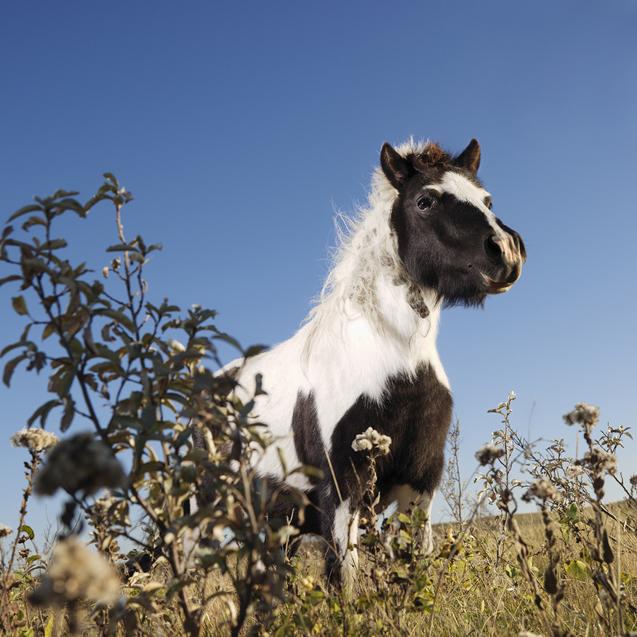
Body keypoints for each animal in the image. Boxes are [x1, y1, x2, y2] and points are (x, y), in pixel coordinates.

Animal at [201, 137, 524, 584]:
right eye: (425, 201)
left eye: (487, 199)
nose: (506, 251)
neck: (391, 362)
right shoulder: (341, 496)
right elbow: (346, 586)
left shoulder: (419, 488)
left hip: (278, 526)